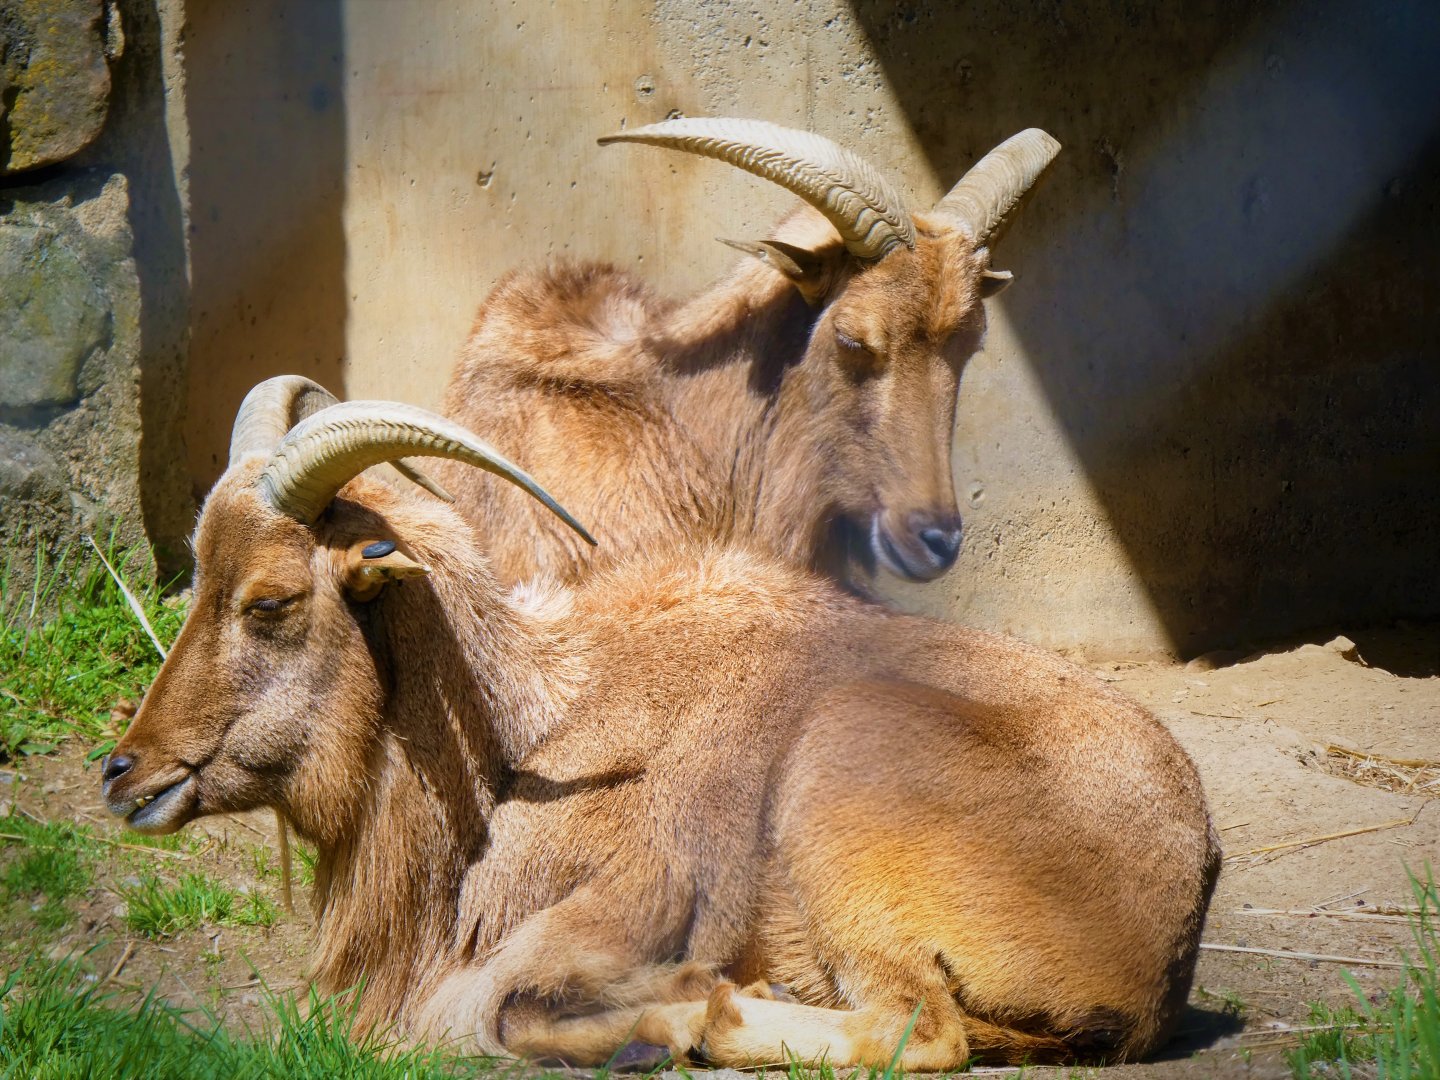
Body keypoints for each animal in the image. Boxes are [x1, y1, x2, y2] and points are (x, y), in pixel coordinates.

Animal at [102, 377, 1219, 1069]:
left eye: (272, 601)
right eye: (198, 573)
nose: (124, 772)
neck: (527, 736)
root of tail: (1172, 912)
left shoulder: (613, 909)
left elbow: (501, 1011)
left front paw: (668, 1012)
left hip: (846, 802)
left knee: (920, 1030)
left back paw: (712, 1019)